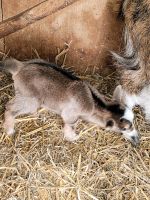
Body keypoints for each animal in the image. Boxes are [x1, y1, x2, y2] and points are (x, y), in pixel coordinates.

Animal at [0, 58, 140, 145]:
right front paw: (72, 137)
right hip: (30, 98)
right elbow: (71, 124)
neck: (93, 103)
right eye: (125, 128)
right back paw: (9, 129)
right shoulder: (70, 114)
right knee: (9, 107)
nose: (137, 139)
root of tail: (20, 67)